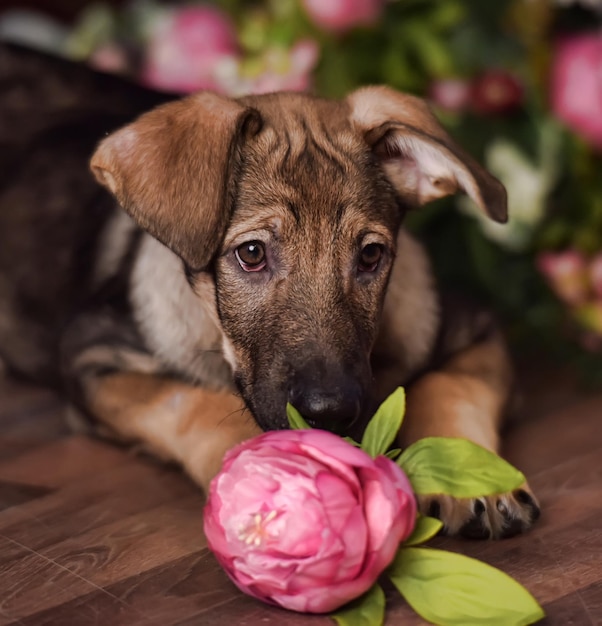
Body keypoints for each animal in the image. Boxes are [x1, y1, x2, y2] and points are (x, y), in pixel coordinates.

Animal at [1, 44, 540, 536]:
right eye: (252, 253)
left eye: (370, 256)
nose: (330, 413)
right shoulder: (94, 353)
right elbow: (198, 403)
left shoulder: (476, 325)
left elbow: (452, 385)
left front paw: (471, 476)